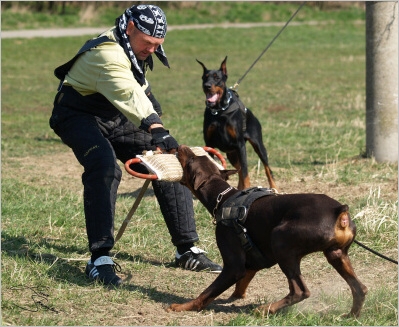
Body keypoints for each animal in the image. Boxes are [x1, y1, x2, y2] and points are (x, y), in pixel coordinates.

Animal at [169, 145, 368, 318]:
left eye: (191, 159)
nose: (181, 146)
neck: (224, 198)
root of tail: (340, 212)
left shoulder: (233, 266)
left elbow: (207, 293)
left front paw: (183, 306)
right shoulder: (254, 261)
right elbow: (242, 283)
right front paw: (235, 297)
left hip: (280, 240)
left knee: (300, 291)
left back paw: (266, 309)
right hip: (336, 254)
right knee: (360, 289)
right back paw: (350, 316)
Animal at [198, 56, 278, 190]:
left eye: (217, 77)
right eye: (205, 77)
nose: (206, 86)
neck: (219, 111)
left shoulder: (240, 145)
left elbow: (245, 172)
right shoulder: (209, 144)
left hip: (257, 145)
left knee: (266, 168)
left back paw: (274, 188)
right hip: (232, 154)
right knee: (239, 169)